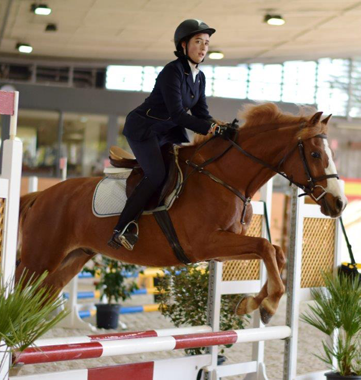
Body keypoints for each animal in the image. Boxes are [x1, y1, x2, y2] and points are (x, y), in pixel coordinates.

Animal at [14, 103, 346, 324]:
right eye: (315, 154)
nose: (340, 203)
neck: (224, 176)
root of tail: (40, 197)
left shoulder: (222, 247)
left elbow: (275, 252)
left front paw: (250, 303)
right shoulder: (205, 243)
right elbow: (266, 247)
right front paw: (267, 306)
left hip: (70, 260)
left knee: (37, 301)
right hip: (38, 259)